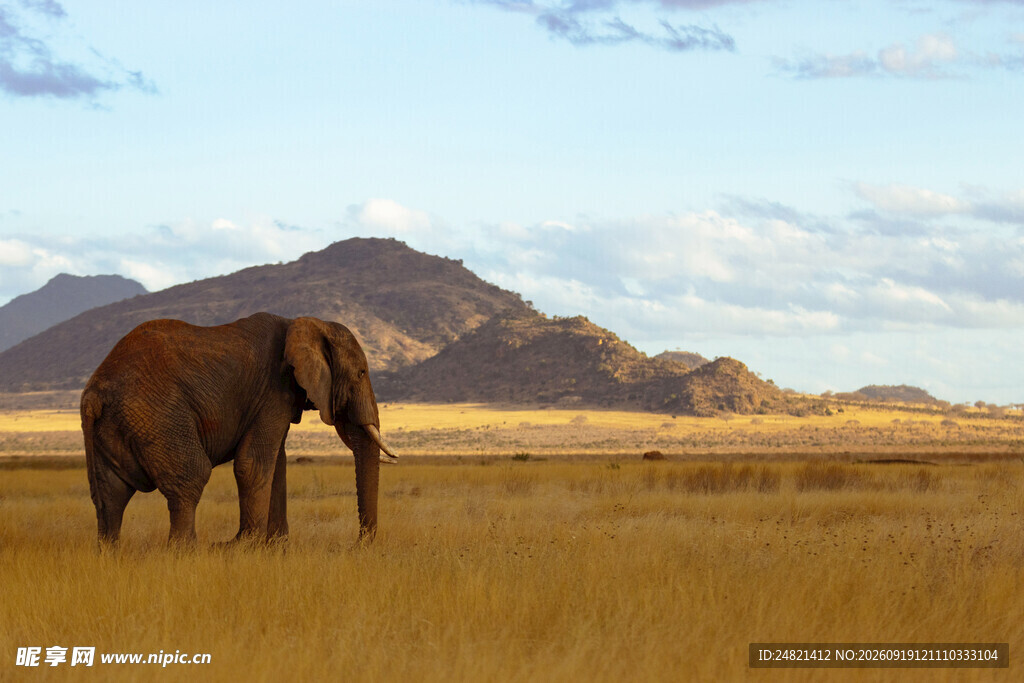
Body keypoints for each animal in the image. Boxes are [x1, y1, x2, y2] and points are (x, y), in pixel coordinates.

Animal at [80, 312, 398, 547]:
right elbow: (254, 464)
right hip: (157, 415)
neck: (306, 323)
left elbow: (276, 464)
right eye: (361, 373)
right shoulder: (273, 390)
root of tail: (95, 393)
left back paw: (111, 556)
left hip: (116, 425)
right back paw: (188, 552)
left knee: (110, 494)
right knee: (191, 477)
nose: (356, 545)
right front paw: (245, 547)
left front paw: (276, 548)